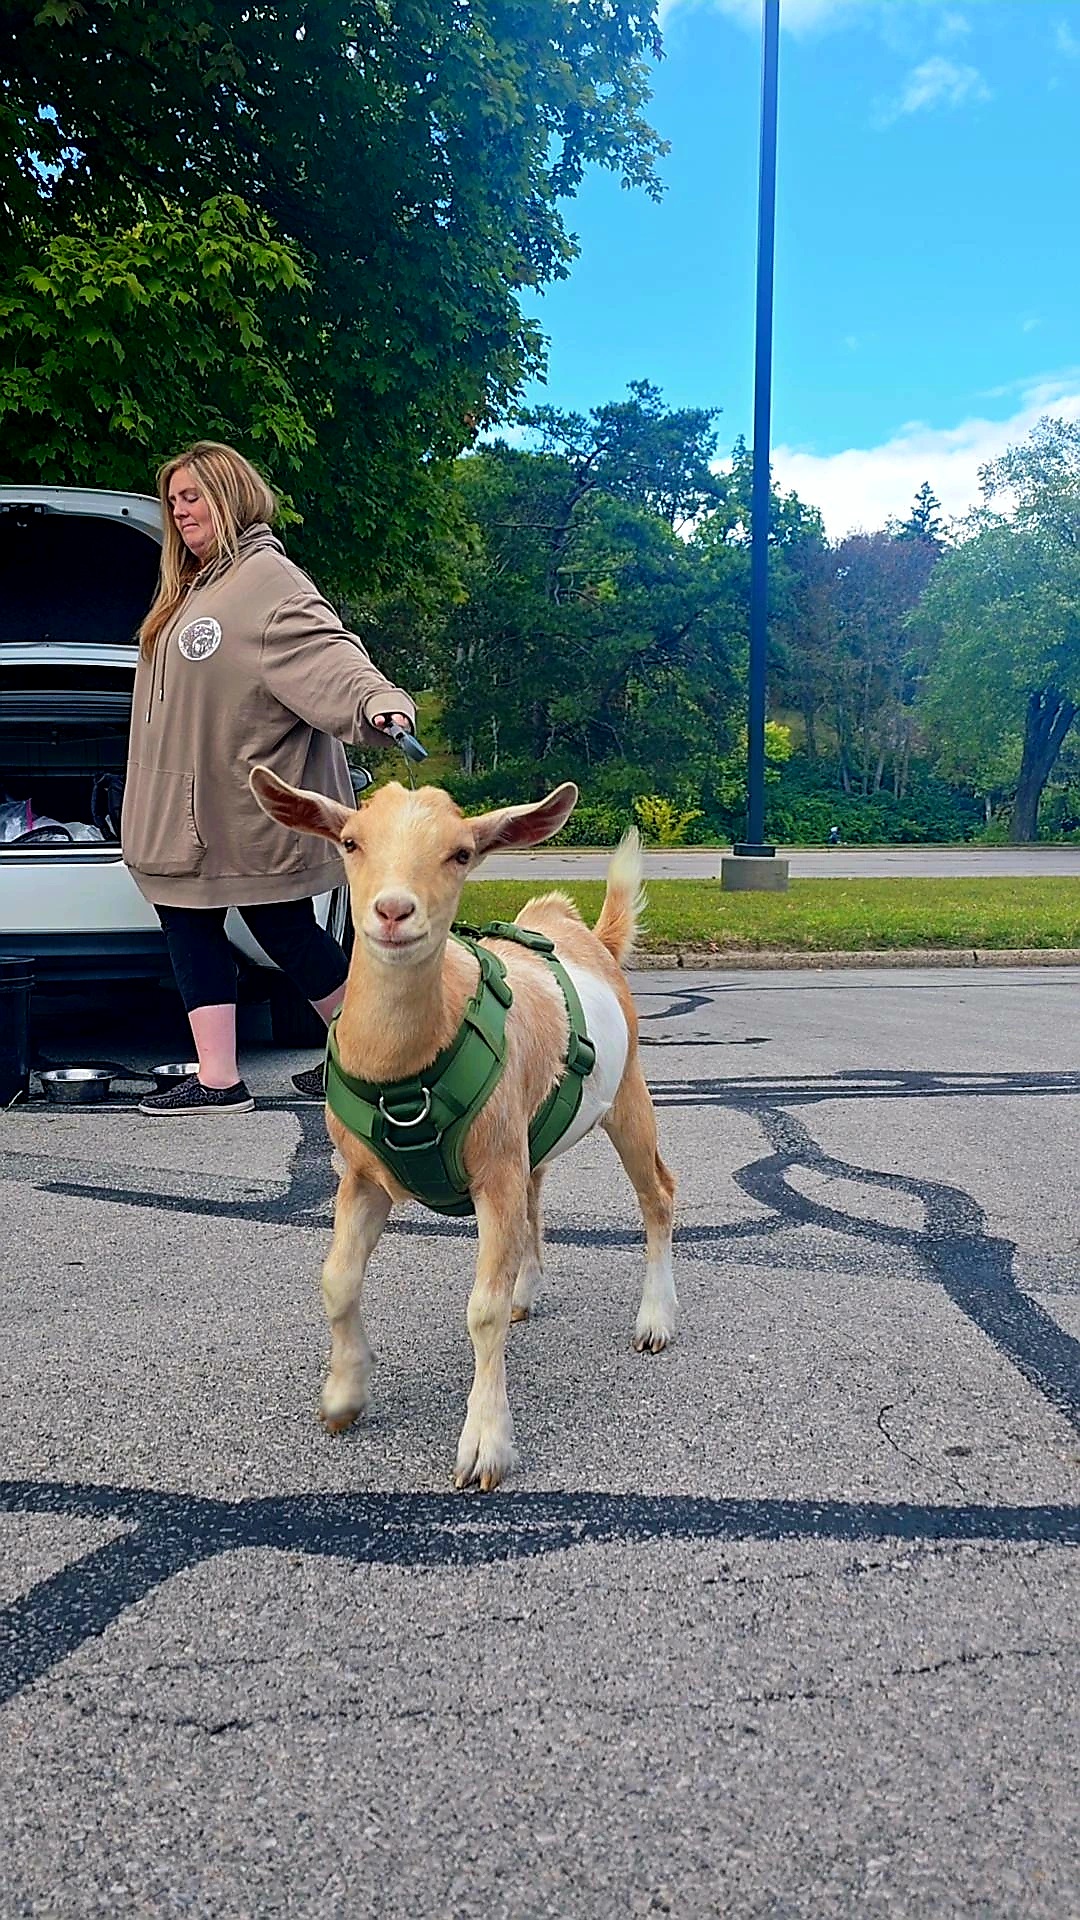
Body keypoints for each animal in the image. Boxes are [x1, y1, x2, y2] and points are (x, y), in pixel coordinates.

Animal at [250, 770, 677, 1490]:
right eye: (351, 841)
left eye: (460, 853)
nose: (394, 912)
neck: (404, 1074)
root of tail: (588, 937)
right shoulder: (360, 1177)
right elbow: (337, 1279)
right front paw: (343, 1396)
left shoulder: (491, 1173)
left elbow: (481, 1310)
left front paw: (485, 1445)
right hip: (531, 1131)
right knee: (537, 1192)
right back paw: (528, 1291)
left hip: (626, 1098)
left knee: (657, 1196)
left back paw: (655, 1320)